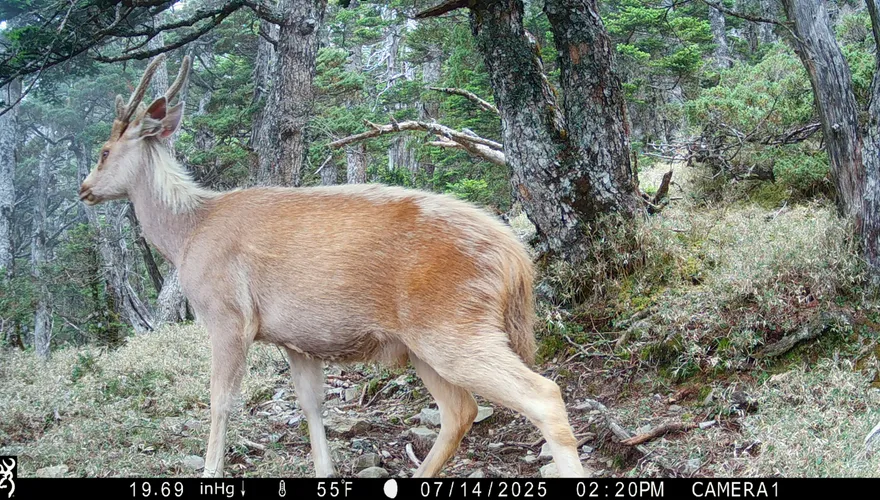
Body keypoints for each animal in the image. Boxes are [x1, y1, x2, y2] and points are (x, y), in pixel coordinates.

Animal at [78, 55, 586, 479]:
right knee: (459, 411)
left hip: (454, 326)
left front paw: (210, 470)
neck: (187, 235)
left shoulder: (226, 315)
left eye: (103, 152)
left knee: (543, 396)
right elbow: (312, 405)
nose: (84, 188)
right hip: (426, 343)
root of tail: (515, 259)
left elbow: (220, 400)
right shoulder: (295, 338)